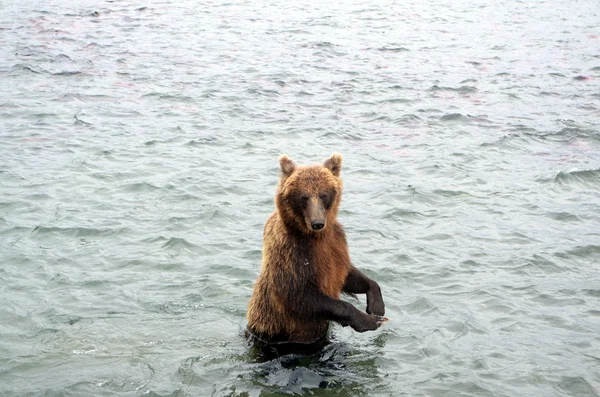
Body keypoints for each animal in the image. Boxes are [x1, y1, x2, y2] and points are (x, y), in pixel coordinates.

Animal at [246, 153, 386, 348]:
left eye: (323, 195)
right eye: (303, 197)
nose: (318, 223)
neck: (314, 237)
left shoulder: (336, 244)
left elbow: (347, 274)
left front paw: (376, 305)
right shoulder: (290, 251)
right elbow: (298, 295)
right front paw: (368, 320)